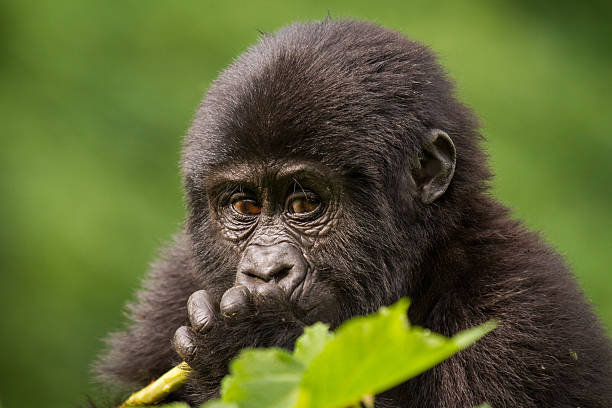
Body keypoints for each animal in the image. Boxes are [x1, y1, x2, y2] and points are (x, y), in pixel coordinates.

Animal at [94, 19, 612, 408]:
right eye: (245, 205)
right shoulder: (172, 286)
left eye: (305, 204)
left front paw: (250, 344)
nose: (265, 273)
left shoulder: (523, 314)